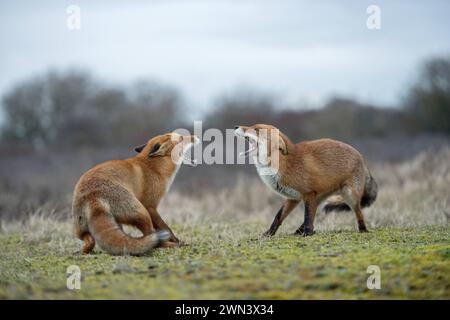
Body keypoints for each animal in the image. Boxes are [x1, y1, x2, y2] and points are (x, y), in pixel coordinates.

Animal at [232, 124, 376, 236]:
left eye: (256, 129)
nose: (235, 126)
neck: (283, 163)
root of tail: (361, 157)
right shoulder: (293, 197)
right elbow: (279, 217)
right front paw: (269, 234)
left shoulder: (308, 193)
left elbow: (307, 216)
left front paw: (307, 234)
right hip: (319, 198)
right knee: (315, 214)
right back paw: (299, 231)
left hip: (349, 195)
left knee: (359, 213)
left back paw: (363, 230)